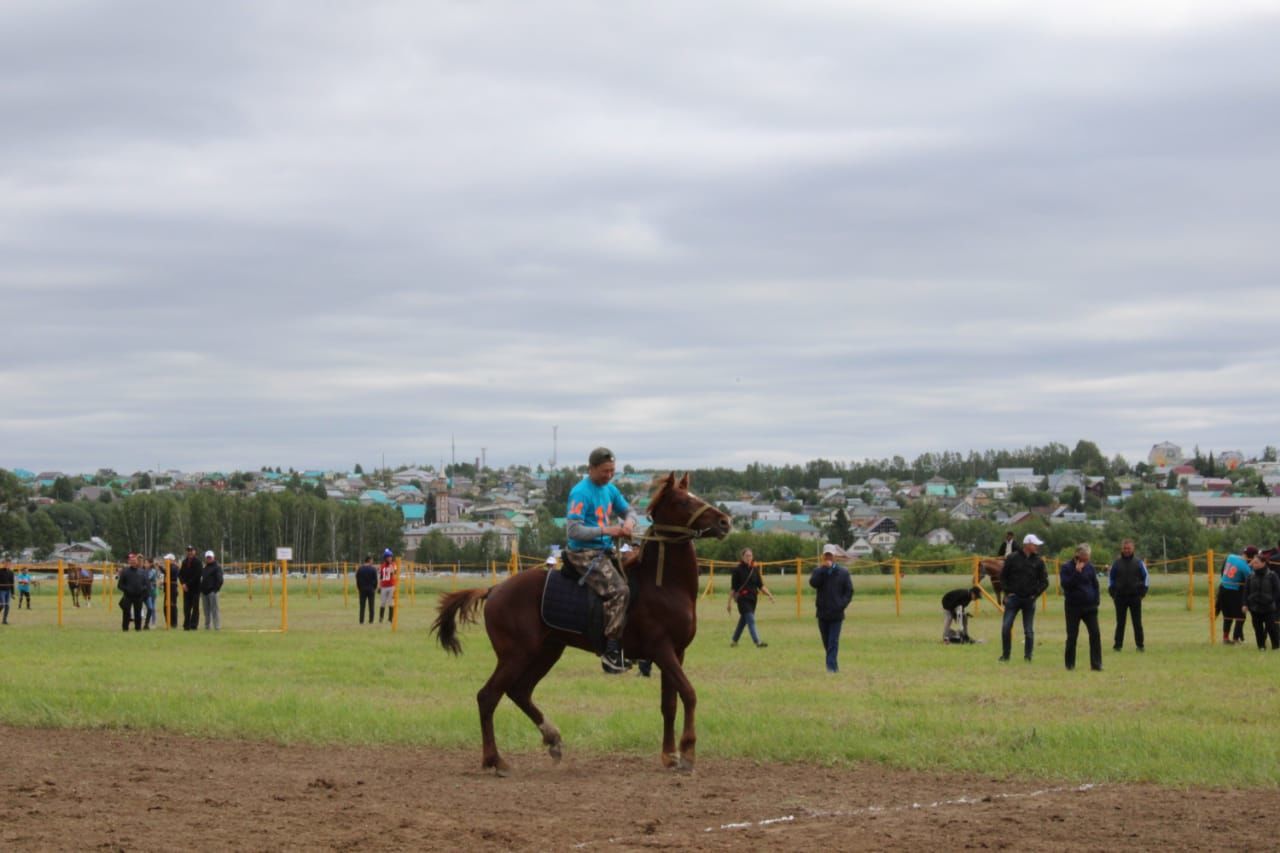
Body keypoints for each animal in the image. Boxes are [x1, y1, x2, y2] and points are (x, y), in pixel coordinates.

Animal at [432, 468, 727, 773]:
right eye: (683, 502)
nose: (724, 522)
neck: (663, 586)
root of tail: (495, 590)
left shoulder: (675, 653)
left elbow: (669, 704)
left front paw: (670, 755)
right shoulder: (662, 650)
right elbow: (689, 693)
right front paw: (688, 752)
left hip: (546, 652)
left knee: (519, 691)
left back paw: (552, 739)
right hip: (516, 655)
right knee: (488, 696)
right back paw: (494, 759)